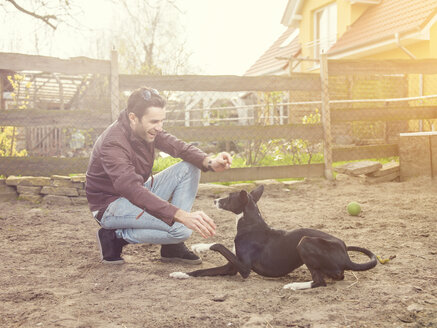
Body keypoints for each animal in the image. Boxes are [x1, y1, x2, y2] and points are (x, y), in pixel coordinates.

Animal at [169, 184, 376, 290]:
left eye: (229, 197)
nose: (214, 200)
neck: (250, 224)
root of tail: (345, 255)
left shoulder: (244, 268)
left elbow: (218, 244)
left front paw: (200, 246)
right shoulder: (231, 267)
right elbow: (201, 271)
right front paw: (180, 274)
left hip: (305, 242)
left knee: (320, 282)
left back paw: (294, 285)